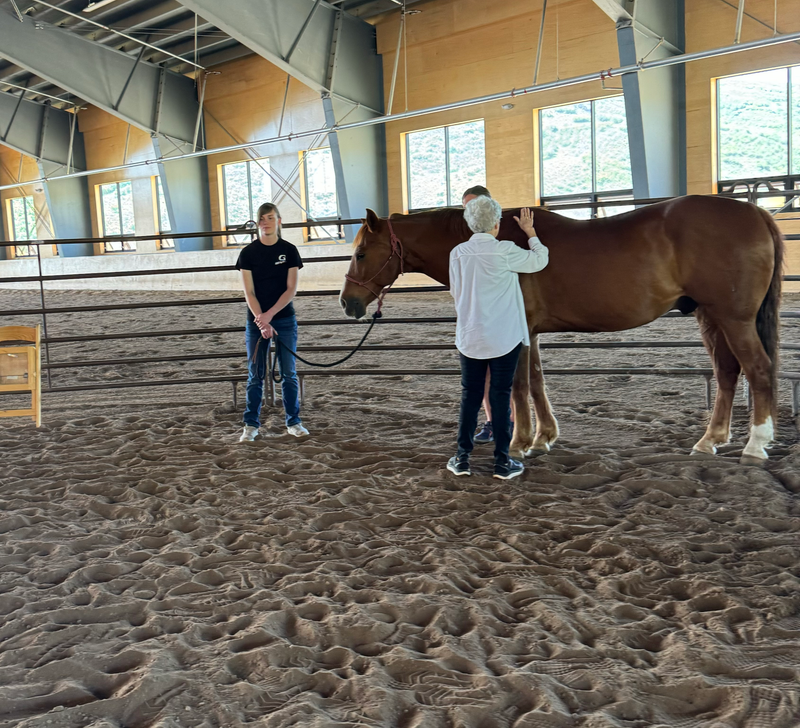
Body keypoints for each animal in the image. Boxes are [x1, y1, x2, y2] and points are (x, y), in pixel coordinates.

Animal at [339, 196, 784, 464]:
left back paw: (755, 445)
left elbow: (518, 385)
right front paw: (544, 437)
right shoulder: (531, 331)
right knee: (728, 372)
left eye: (360, 253)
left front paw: (519, 443)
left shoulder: (518, 328)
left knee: (758, 370)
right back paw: (711, 440)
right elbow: (537, 381)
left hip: (733, 318)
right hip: (711, 317)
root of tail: (757, 213)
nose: (348, 303)